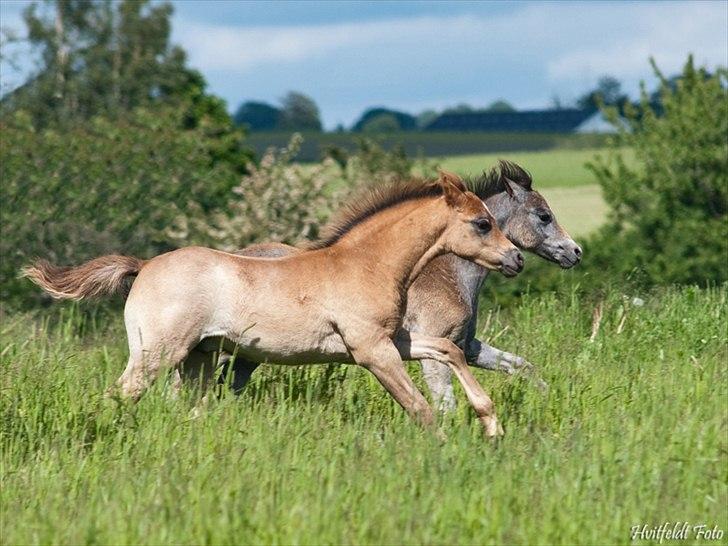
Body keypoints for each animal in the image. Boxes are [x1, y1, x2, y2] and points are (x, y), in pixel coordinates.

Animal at [23, 172, 523, 437]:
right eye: (482, 224)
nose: (516, 259)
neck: (367, 263)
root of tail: (144, 266)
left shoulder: (392, 340)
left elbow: (449, 350)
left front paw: (491, 425)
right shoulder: (371, 351)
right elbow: (419, 407)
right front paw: (444, 446)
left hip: (198, 359)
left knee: (186, 407)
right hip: (157, 353)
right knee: (119, 394)